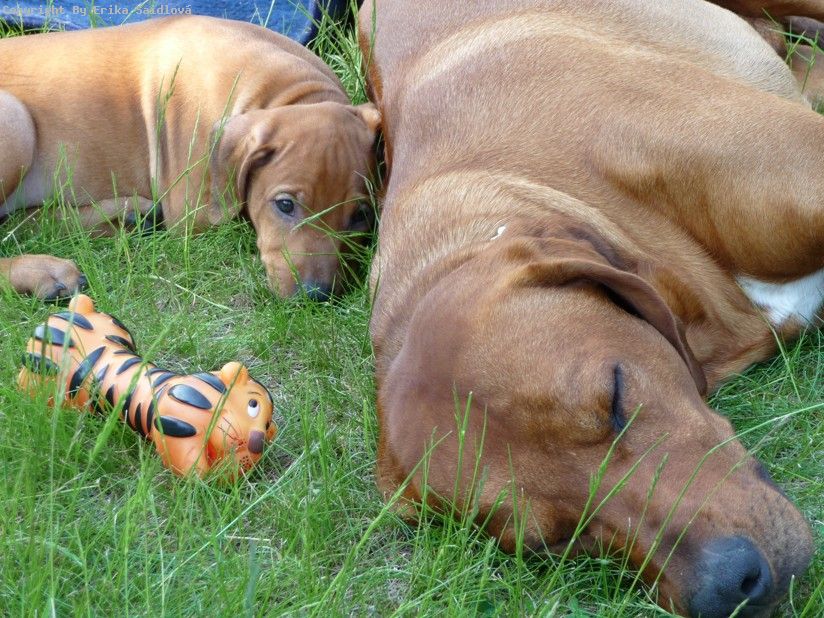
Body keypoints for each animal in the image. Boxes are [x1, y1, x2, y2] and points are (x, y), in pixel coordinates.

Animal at [0, 15, 380, 300]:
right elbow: (232, 213)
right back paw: (43, 270)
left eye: (361, 215)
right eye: (285, 205)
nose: (317, 295)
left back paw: (127, 215)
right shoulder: (195, 212)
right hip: (15, 121)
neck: (283, 90)